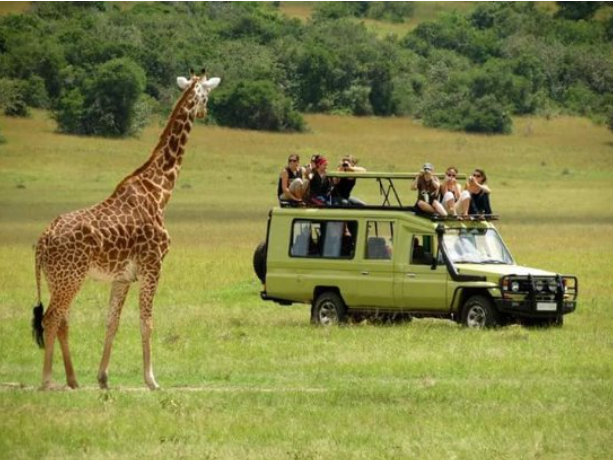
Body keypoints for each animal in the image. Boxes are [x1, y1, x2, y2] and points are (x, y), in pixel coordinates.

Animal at [32, 70, 221, 390]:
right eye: (207, 96)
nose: (205, 111)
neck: (160, 191)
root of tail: (42, 241)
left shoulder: (122, 277)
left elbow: (112, 322)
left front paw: (103, 378)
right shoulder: (152, 266)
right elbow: (147, 321)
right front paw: (152, 380)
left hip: (57, 279)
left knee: (62, 320)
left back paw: (73, 380)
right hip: (71, 277)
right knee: (51, 318)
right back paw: (46, 381)